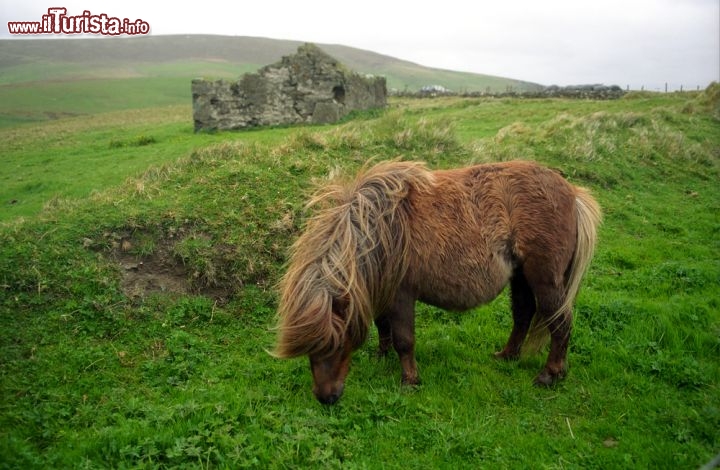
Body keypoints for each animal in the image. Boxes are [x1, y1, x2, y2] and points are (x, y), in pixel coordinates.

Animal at [272, 161, 600, 404]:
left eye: (335, 343)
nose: (326, 397)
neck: (382, 227)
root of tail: (572, 193)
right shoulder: (381, 289)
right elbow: (383, 326)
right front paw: (381, 355)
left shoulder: (401, 295)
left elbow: (405, 340)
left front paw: (409, 381)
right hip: (520, 278)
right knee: (523, 316)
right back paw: (507, 356)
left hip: (545, 280)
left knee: (560, 323)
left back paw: (550, 374)